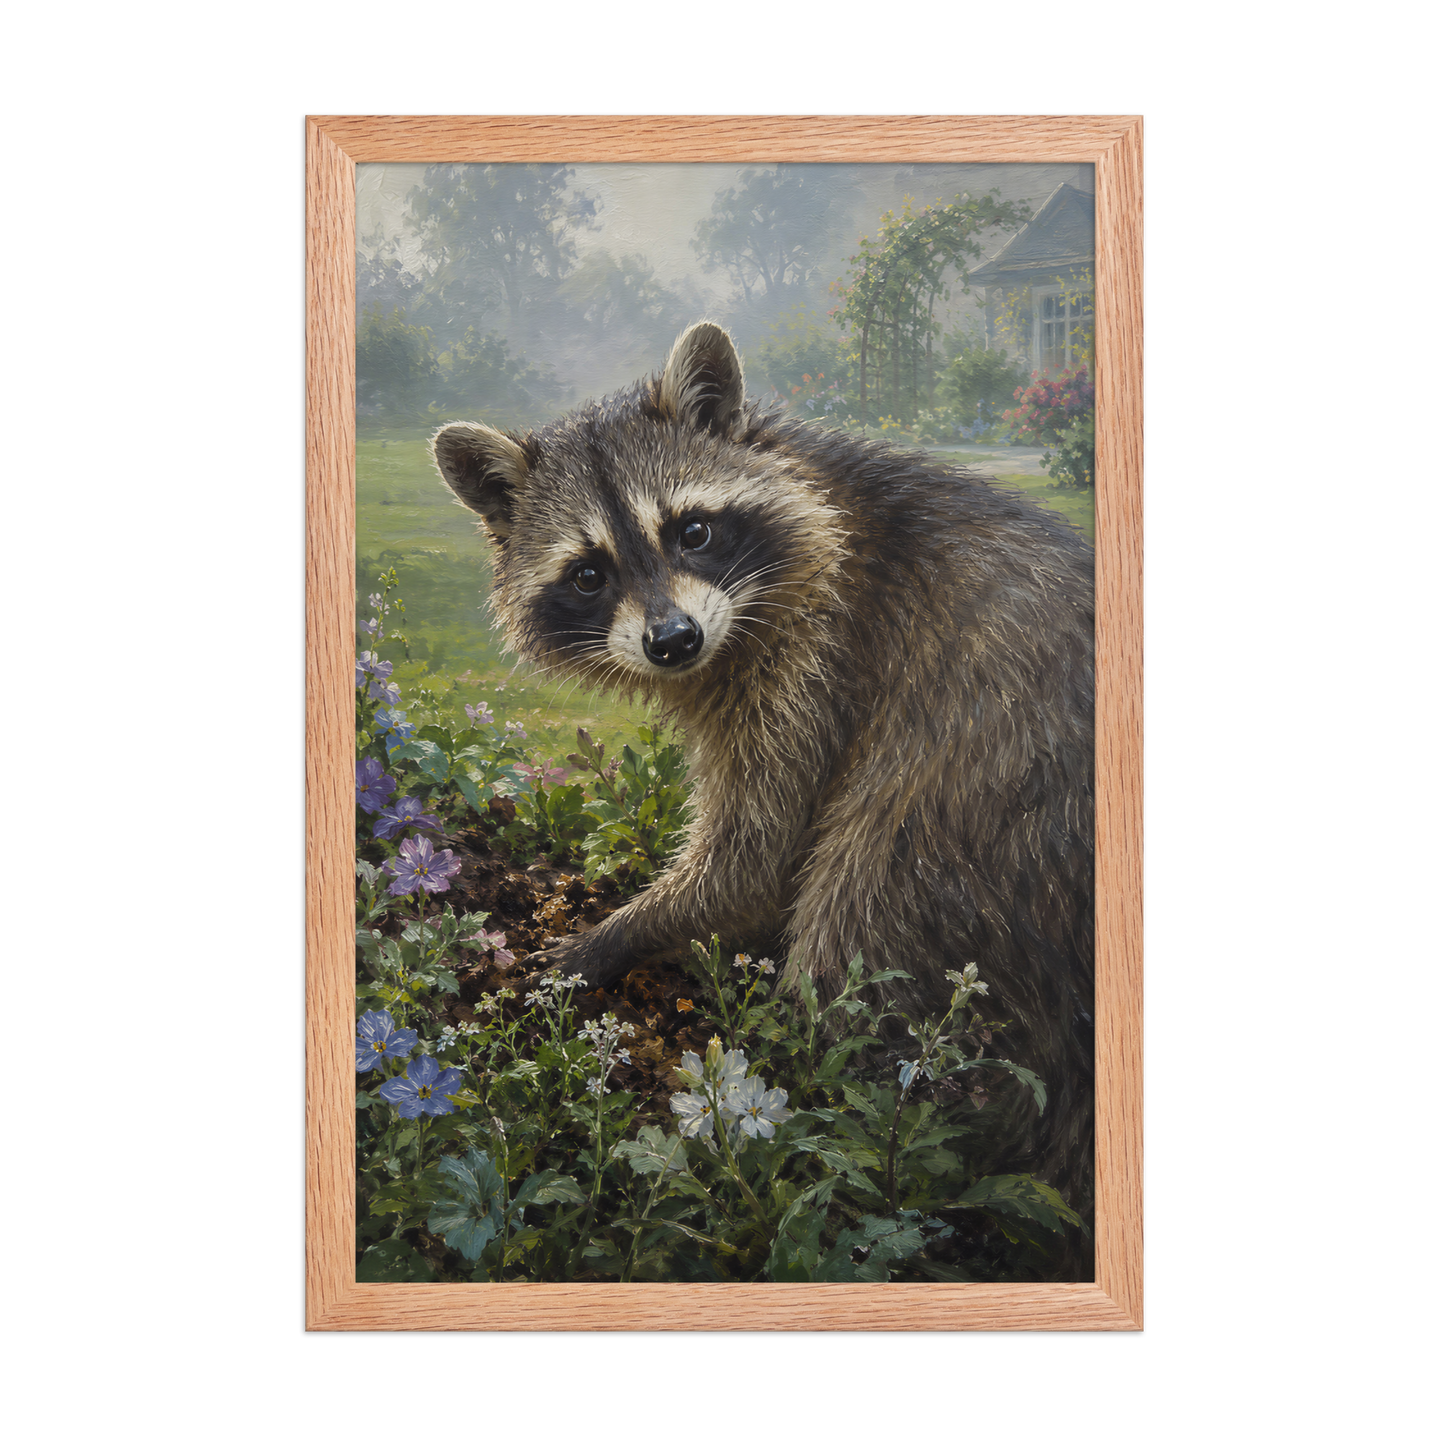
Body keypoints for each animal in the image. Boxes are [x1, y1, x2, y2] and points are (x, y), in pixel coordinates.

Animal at [432, 322, 1094, 1227]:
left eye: (692, 531)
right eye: (588, 572)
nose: (672, 640)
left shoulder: (823, 657)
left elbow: (754, 857)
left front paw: (614, 934)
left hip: (971, 827)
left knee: (858, 921)